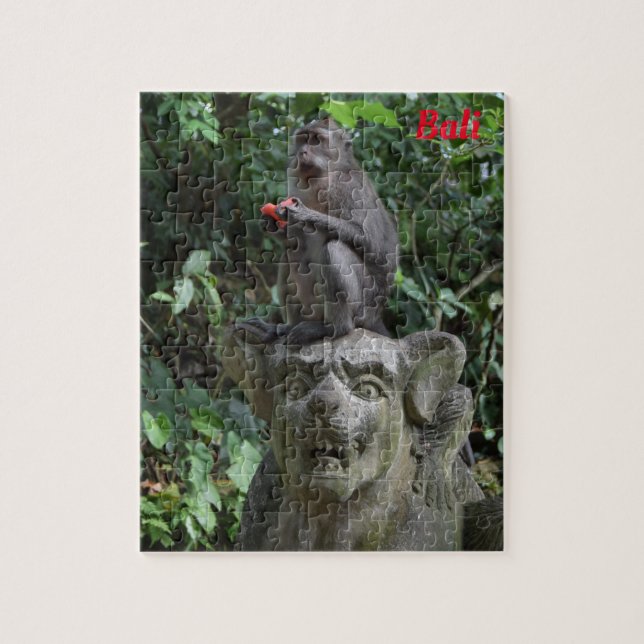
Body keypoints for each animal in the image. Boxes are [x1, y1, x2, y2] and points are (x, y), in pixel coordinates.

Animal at [240, 117, 398, 345]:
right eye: (303, 139)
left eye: (316, 140)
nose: (302, 152)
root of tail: (375, 316)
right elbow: (293, 239)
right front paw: (272, 222)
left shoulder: (348, 187)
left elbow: (371, 243)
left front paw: (304, 214)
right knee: (290, 253)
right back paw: (285, 328)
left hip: (363, 306)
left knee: (334, 249)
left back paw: (334, 328)